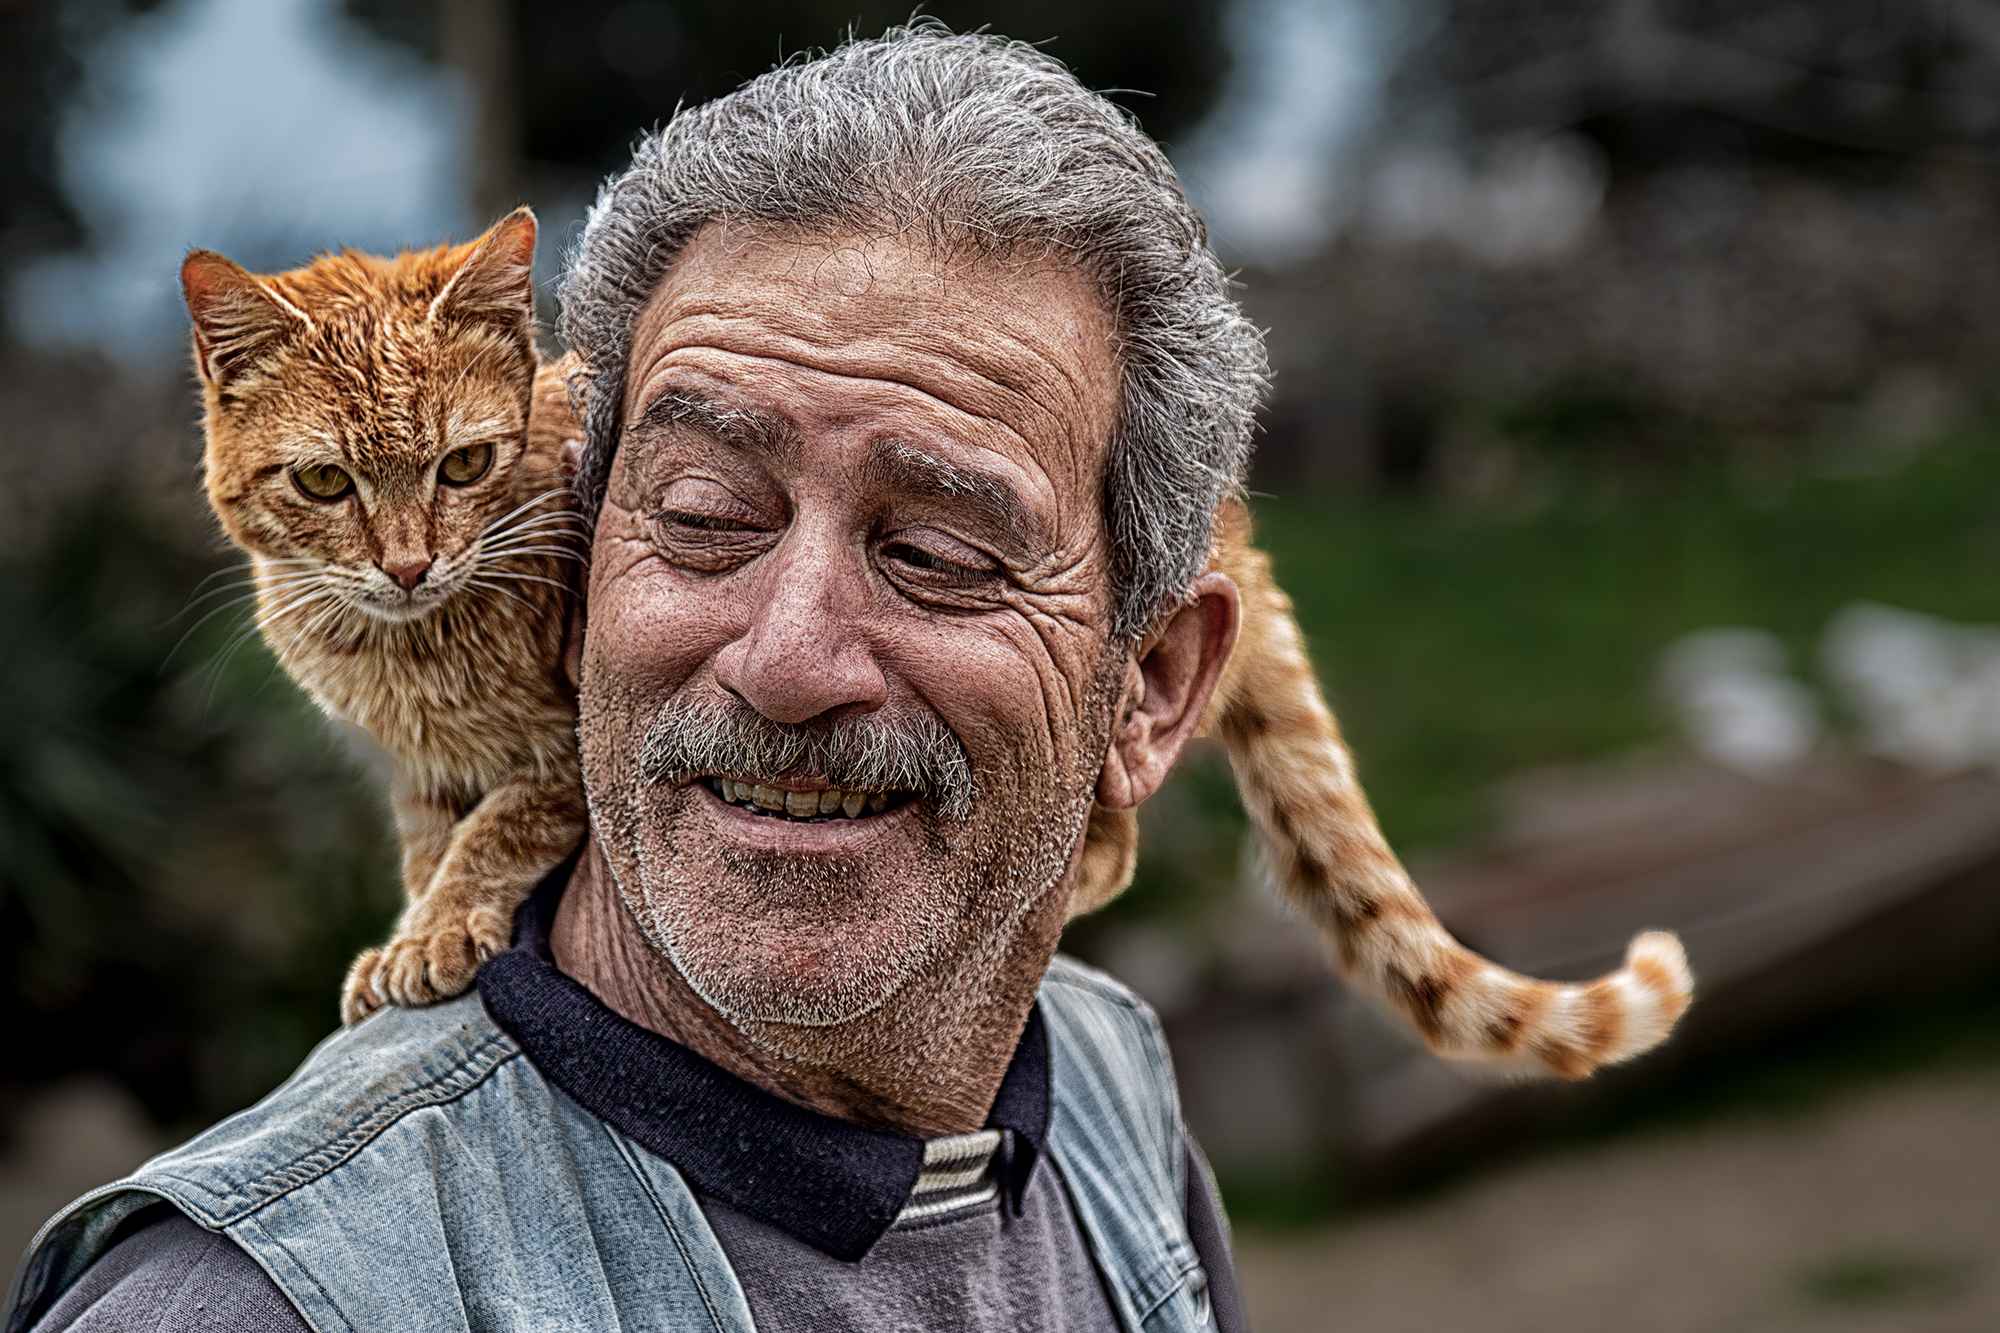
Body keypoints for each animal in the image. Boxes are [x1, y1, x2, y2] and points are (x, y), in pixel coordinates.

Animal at [181, 210, 588, 1016]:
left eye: (464, 464)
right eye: (323, 480)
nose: (407, 567)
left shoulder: (578, 754)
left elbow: (502, 824)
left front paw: (437, 928)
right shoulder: (419, 775)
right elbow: (430, 846)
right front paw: (412, 928)